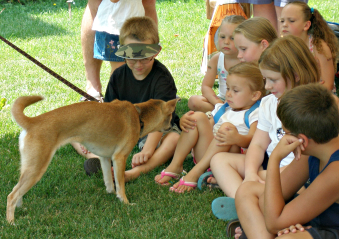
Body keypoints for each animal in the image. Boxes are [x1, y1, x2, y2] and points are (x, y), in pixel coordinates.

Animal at [6, 96, 179, 223]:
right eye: (172, 115)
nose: (177, 126)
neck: (139, 116)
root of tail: (33, 122)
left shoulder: (105, 157)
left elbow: (109, 180)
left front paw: (111, 194)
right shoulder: (119, 157)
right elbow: (120, 184)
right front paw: (125, 202)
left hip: (29, 167)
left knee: (17, 191)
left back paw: (21, 210)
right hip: (37, 168)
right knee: (12, 195)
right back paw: (12, 222)